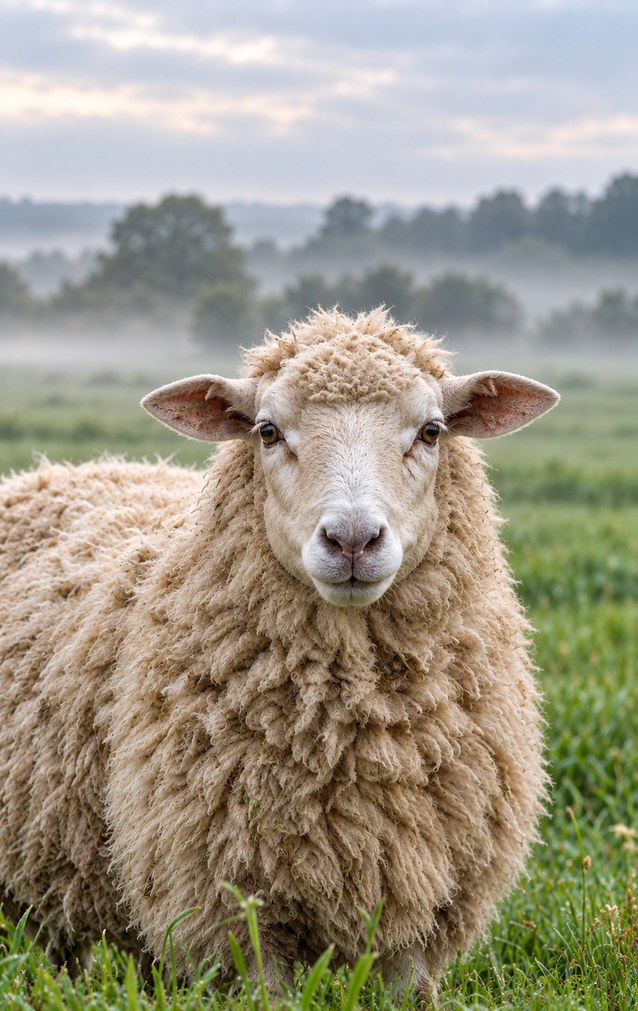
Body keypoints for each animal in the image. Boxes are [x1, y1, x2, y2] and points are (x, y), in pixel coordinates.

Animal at [0, 307, 559, 996]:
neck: (352, 728)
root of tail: (61, 469)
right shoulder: (230, 905)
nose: (353, 540)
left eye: (432, 431)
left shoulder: (419, 900)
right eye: (267, 431)